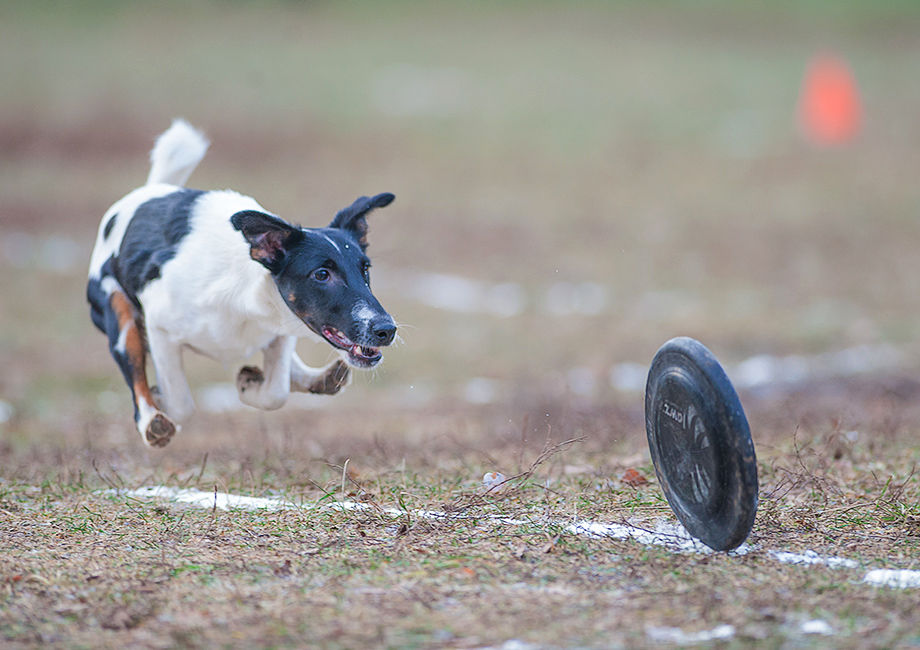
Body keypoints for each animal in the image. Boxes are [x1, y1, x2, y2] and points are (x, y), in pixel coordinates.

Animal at [87, 120, 398, 446]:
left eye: (365, 270)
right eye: (322, 274)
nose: (386, 330)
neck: (247, 304)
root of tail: (148, 191)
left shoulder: (282, 327)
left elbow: (276, 390)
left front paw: (250, 383)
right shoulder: (160, 327)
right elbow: (181, 403)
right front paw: (161, 402)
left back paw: (316, 378)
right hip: (119, 316)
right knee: (135, 370)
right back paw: (151, 417)